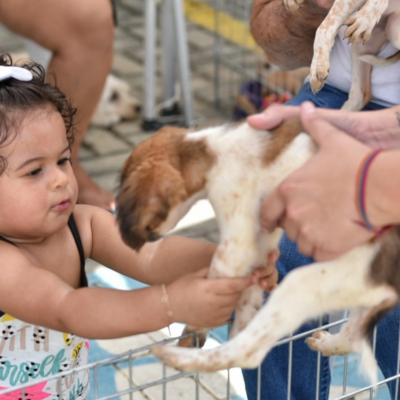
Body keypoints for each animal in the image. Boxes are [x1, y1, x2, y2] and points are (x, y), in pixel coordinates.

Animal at [115, 119, 400, 382]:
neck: (210, 151)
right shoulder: (260, 241)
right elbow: (248, 294)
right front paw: (239, 320)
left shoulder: (236, 242)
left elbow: (218, 283)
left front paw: (194, 330)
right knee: (352, 338)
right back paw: (326, 343)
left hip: (307, 283)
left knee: (248, 353)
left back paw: (175, 356)